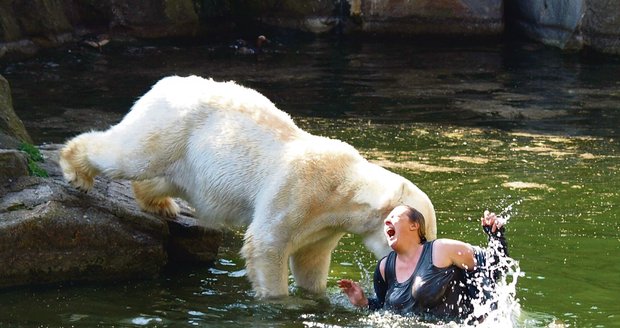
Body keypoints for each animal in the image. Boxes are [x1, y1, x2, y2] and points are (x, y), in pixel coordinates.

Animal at [58, 75, 436, 300]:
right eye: (423, 233)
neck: (342, 188)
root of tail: (163, 83)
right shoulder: (298, 191)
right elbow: (267, 243)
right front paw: (278, 300)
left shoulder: (324, 227)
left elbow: (310, 260)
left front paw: (315, 296)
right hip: (172, 125)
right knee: (131, 154)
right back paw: (76, 170)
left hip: (187, 155)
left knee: (163, 175)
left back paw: (160, 203)